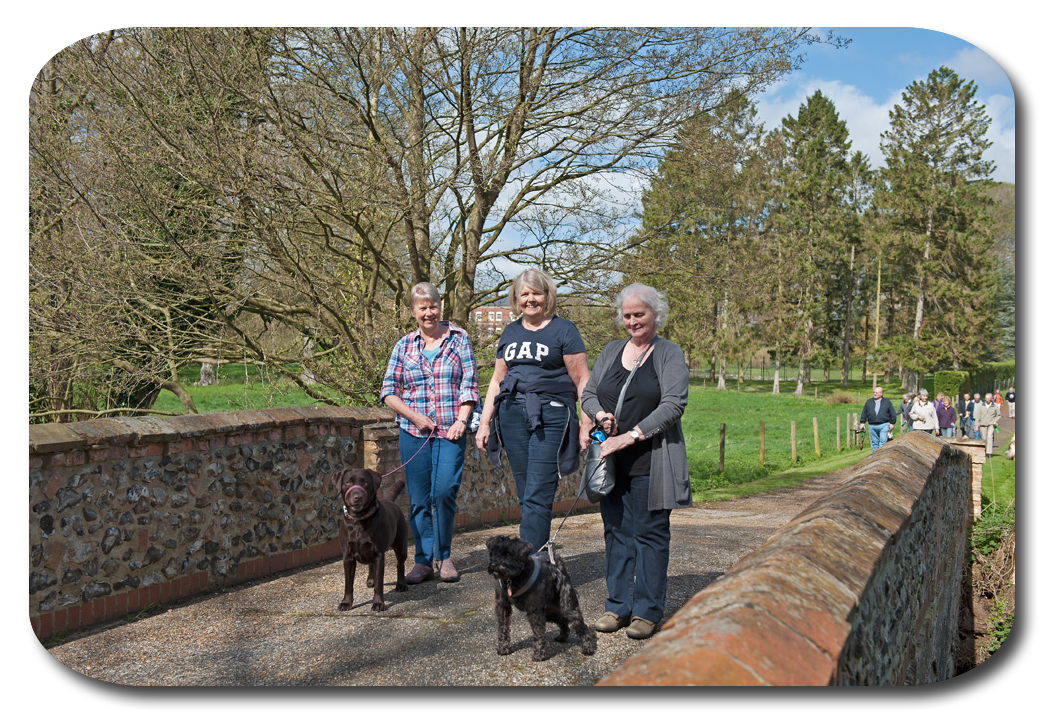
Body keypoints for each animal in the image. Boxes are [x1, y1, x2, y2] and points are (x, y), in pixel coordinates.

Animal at [334, 466, 407, 610]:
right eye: (348, 483)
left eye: (365, 483)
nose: (357, 497)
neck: (359, 520)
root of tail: (389, 500)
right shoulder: (348, 557)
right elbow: (348, 584)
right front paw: (346, 602)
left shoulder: (378, 554)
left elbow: (379, 583)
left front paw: (378, 603)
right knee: (371, 565)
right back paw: (371, 579)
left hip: (401, 546)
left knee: (400, 564)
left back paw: (401, 584)